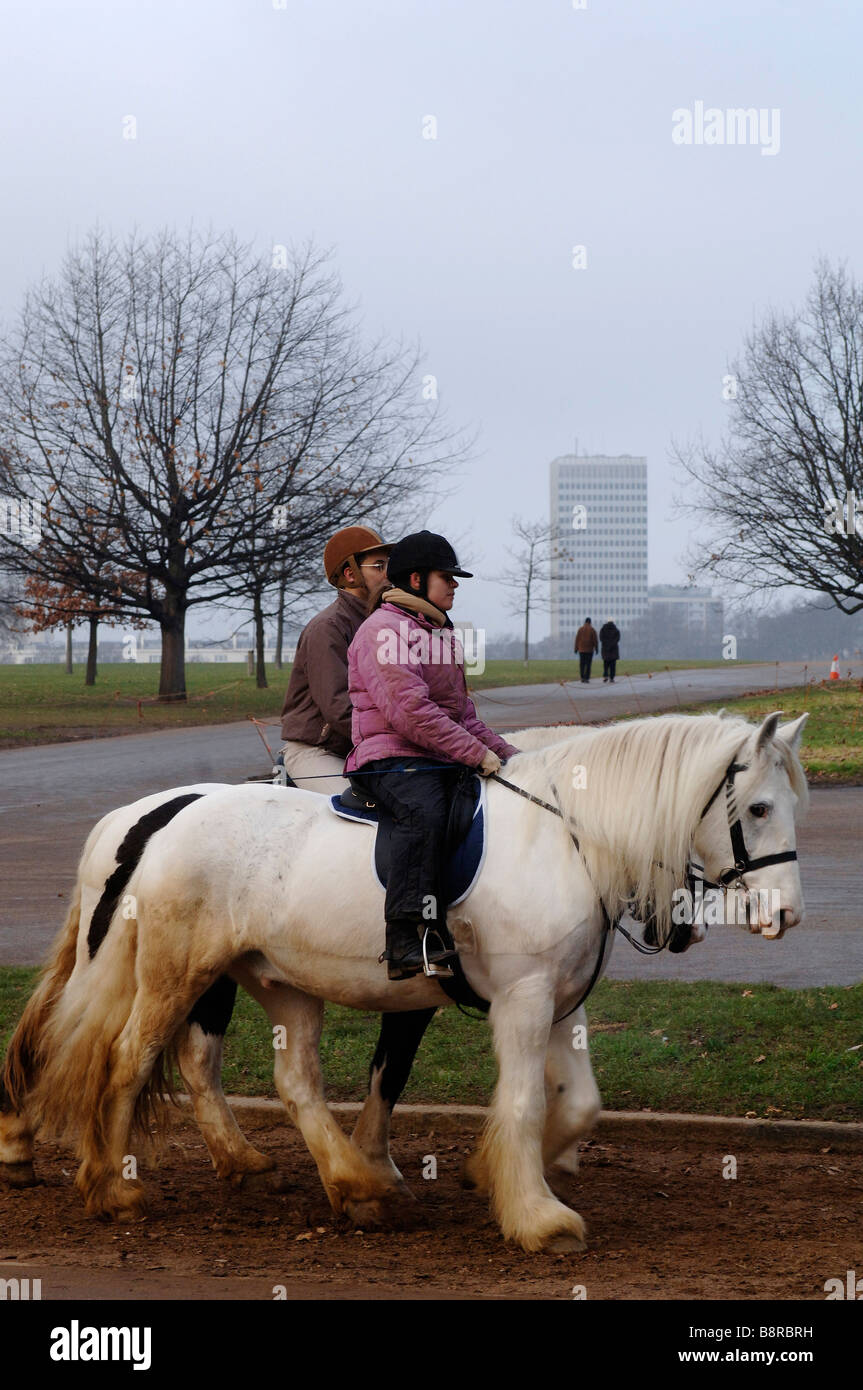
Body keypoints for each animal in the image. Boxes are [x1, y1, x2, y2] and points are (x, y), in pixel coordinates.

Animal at [1, 711, 806, 1256]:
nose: (786, 913)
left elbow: (577, 1104)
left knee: (291, 1080)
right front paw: (537, 1216)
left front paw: (492, 1173)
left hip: (279, 980)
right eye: (758, 808)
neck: (562, 836)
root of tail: (160, 821)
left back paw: (351, 1186)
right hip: (177, 974)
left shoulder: (557, 1001)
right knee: (127, 1060)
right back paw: (113, 1188)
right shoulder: (521, 999)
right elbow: (519, 1100)